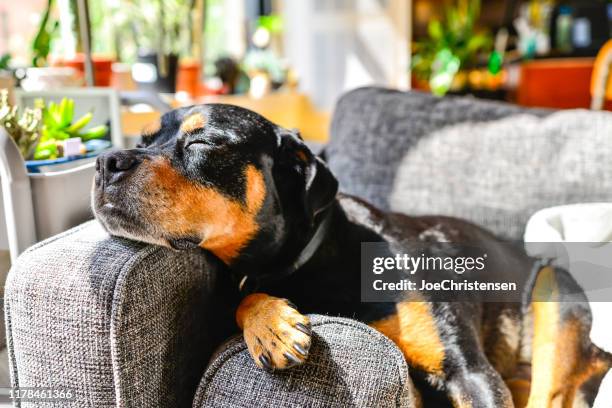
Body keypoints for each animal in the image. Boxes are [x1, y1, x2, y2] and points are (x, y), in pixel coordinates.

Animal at [92, 105, 612, 408]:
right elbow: (247, 296)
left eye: (202, 142)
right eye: (142, 141)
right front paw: (272, 325)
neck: (314, 258)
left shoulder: (470, 374)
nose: (104, 162)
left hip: (555, 289)